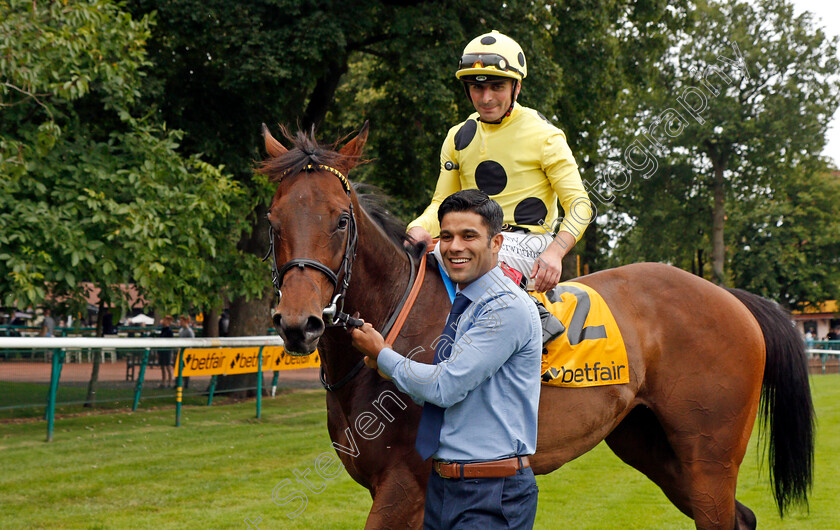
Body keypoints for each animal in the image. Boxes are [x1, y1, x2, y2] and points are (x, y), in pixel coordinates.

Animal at [262, 121, 812, 524]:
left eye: (341, 219)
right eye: (272, 221)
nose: (298, 323)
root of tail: (729, 296)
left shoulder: (404, 485)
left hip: (709, 457)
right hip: (651, 445)